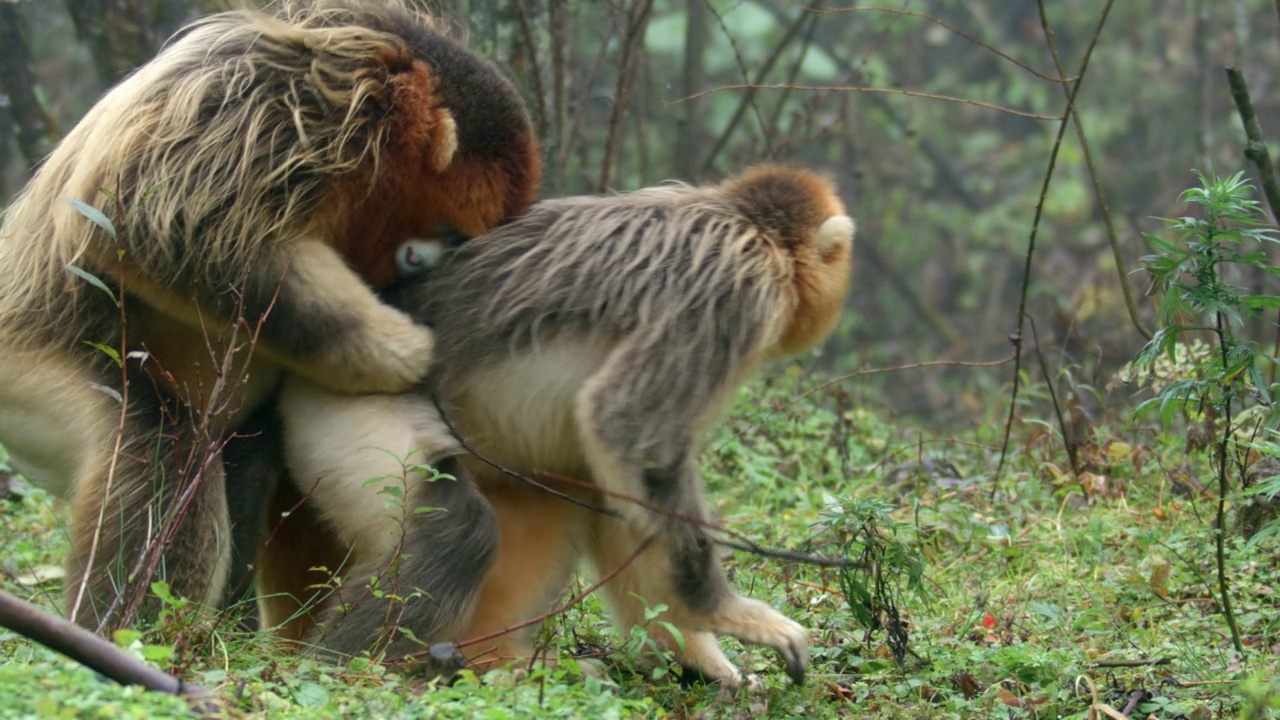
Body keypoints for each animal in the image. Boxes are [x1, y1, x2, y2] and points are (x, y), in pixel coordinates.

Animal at [0, 0, 537, 627]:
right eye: (449, 235)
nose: (426, 264)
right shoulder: (292, 93)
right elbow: (144, 215)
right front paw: (401, 351)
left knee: (243, 458)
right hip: (25, 371)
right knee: (156, 446)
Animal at [273, 165, 855, 686]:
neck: (738, 218)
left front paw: (703, 658)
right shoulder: (733, 292)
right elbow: (625, 425)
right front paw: (721, 614)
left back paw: (490, 662)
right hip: (339, 414)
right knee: (457, 526)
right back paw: (357, 673)